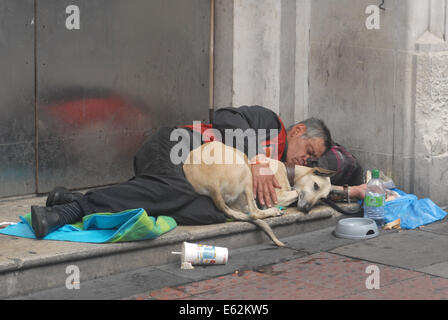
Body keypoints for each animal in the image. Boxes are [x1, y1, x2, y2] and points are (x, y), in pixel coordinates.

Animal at [182, 141, 332, 246]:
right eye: (316, 186)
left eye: (322, 198)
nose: (306, 209)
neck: (288, 170)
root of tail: (212, 184)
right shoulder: (277, 196)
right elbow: (294, 191)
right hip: (246, 171)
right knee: (254, 213)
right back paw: (273, 211)